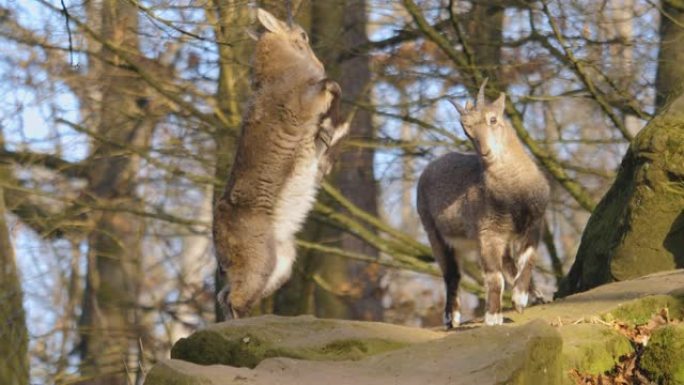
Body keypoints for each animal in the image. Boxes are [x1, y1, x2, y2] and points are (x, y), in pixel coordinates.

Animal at [416, 81, 552, 328]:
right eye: (466, 130)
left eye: (493, 119)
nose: (486, 152)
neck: (514, 194)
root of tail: (428, 168)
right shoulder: (488, 233)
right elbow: (494, 277)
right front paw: (493, 316)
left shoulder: (534, 223)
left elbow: (528, 259)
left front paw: (520, 299)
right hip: (434, 232)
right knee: (452, 274)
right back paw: (452, 317)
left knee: (508, 264)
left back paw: (537, 295)